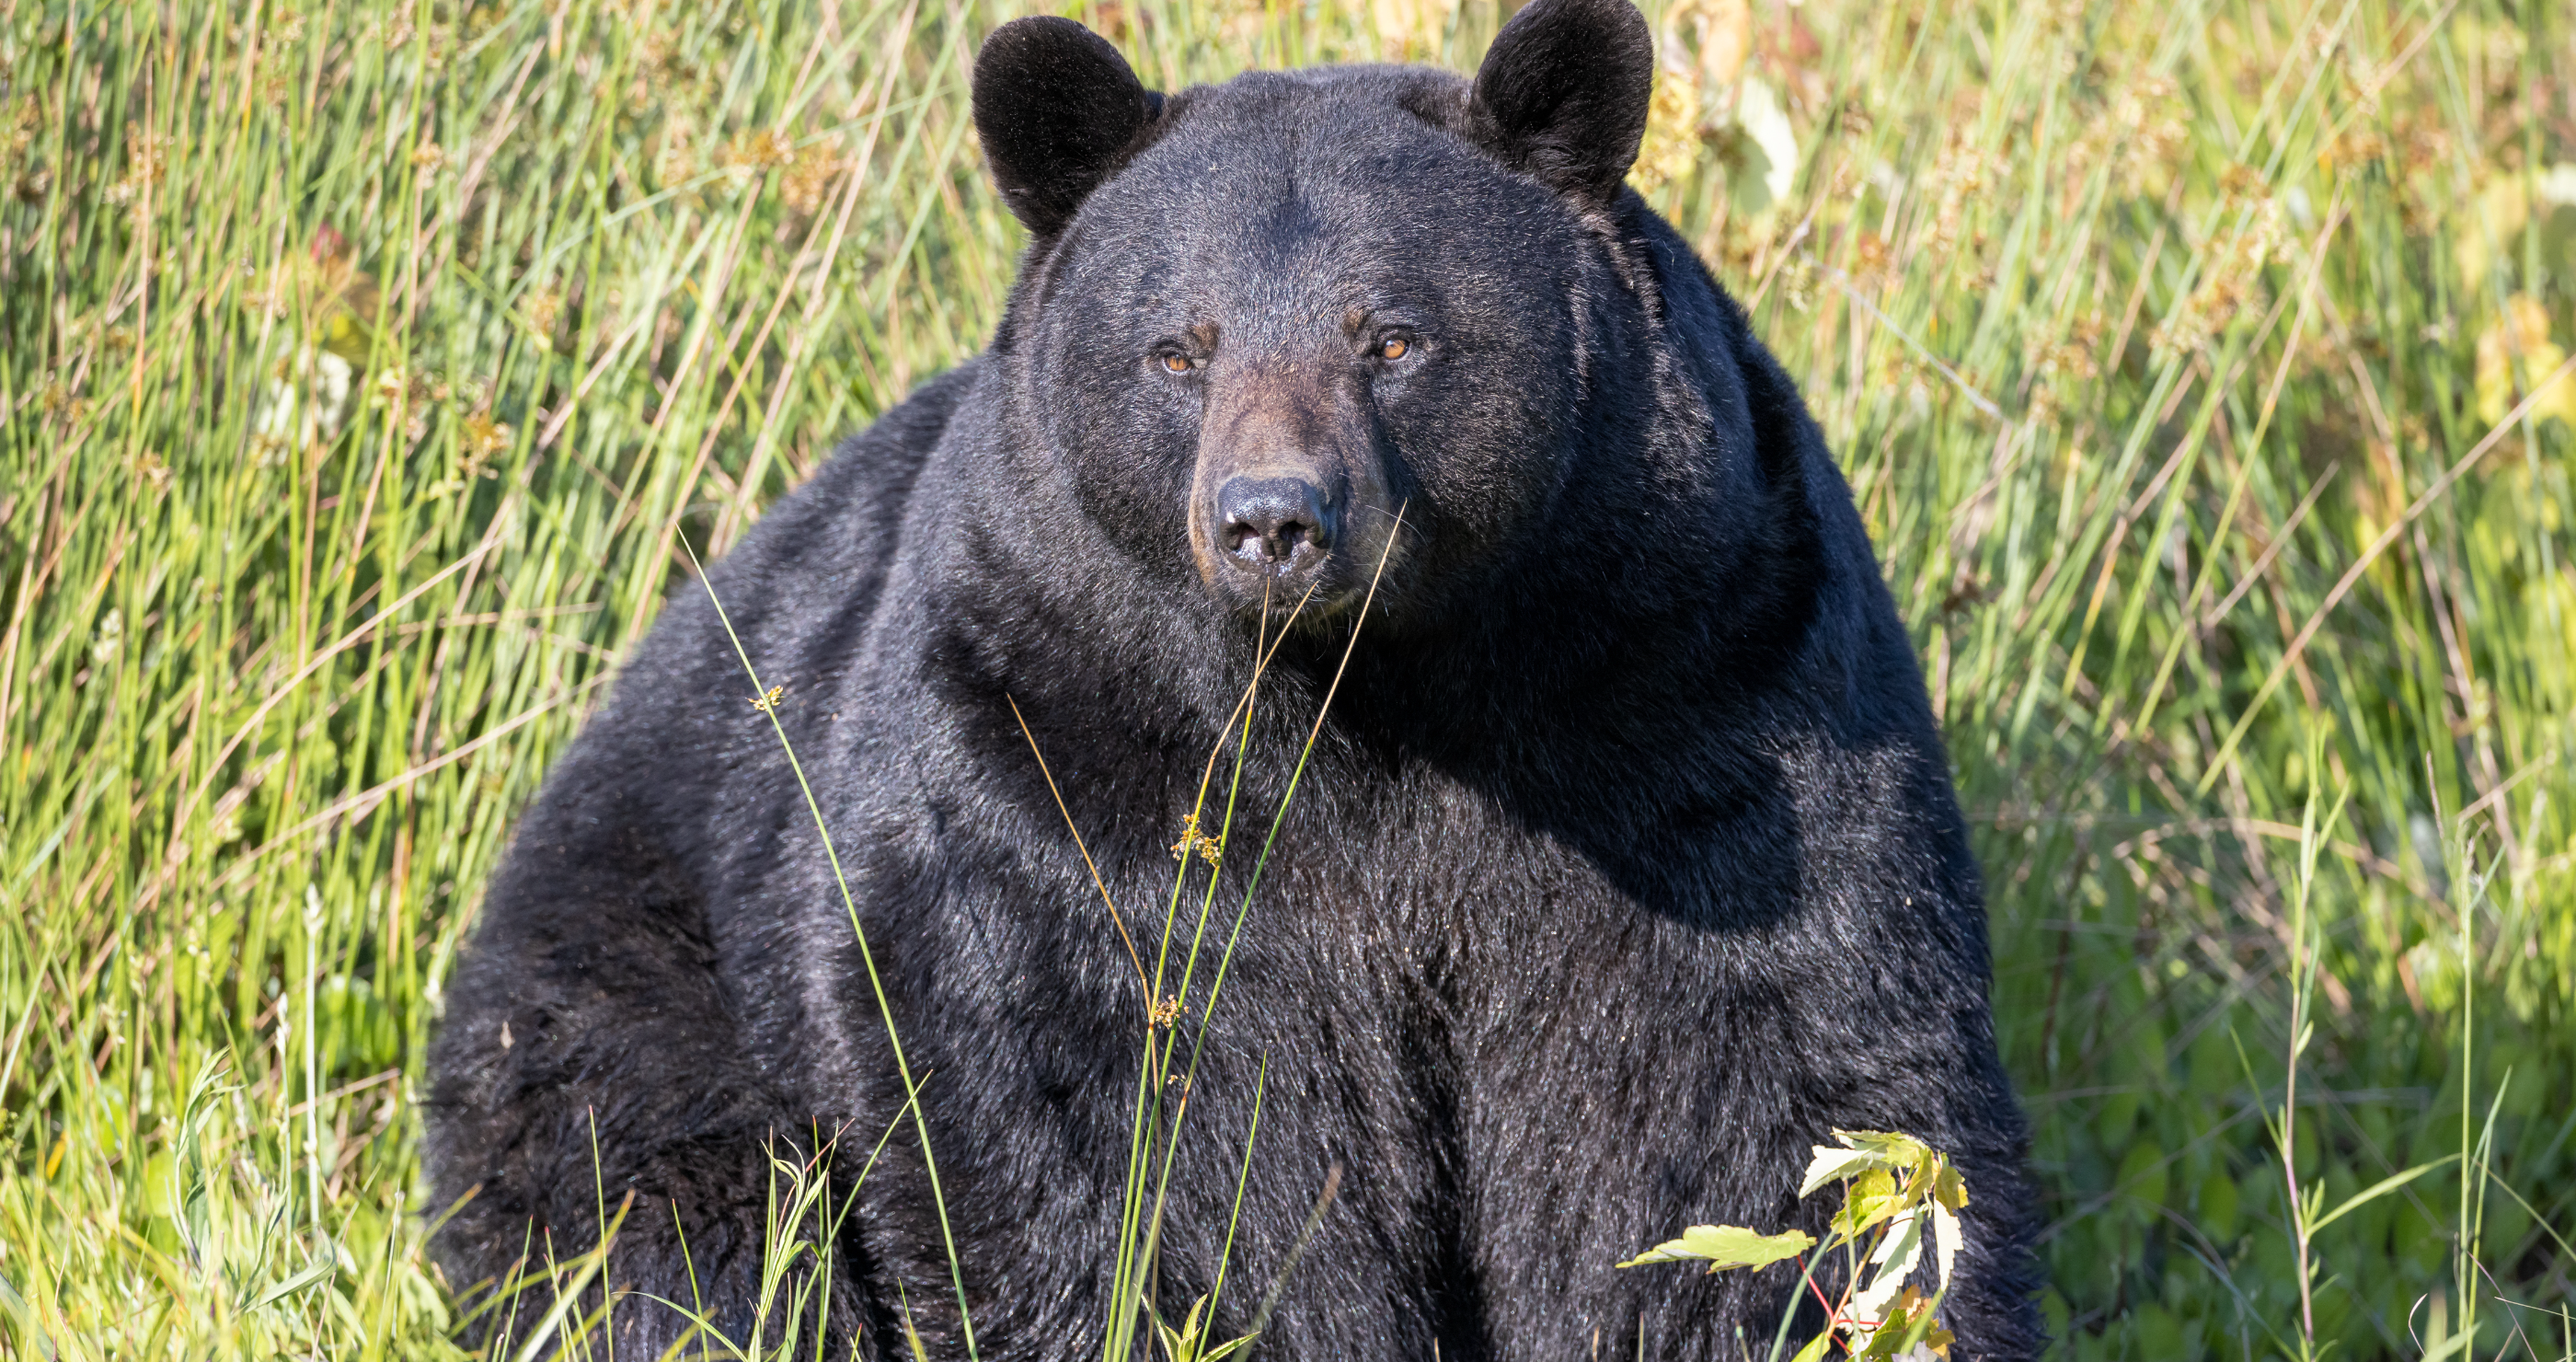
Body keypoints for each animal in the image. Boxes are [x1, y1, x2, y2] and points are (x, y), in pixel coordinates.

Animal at [432, 0, 2040, 1349]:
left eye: (1392, 337)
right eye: (1177, 349)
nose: (1272, 519)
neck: (1384, 708)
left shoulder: (1695, 708)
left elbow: (1735, 1111)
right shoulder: (1068, 769)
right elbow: (1145, 1139)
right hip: (626, 996)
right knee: (666, 1231)